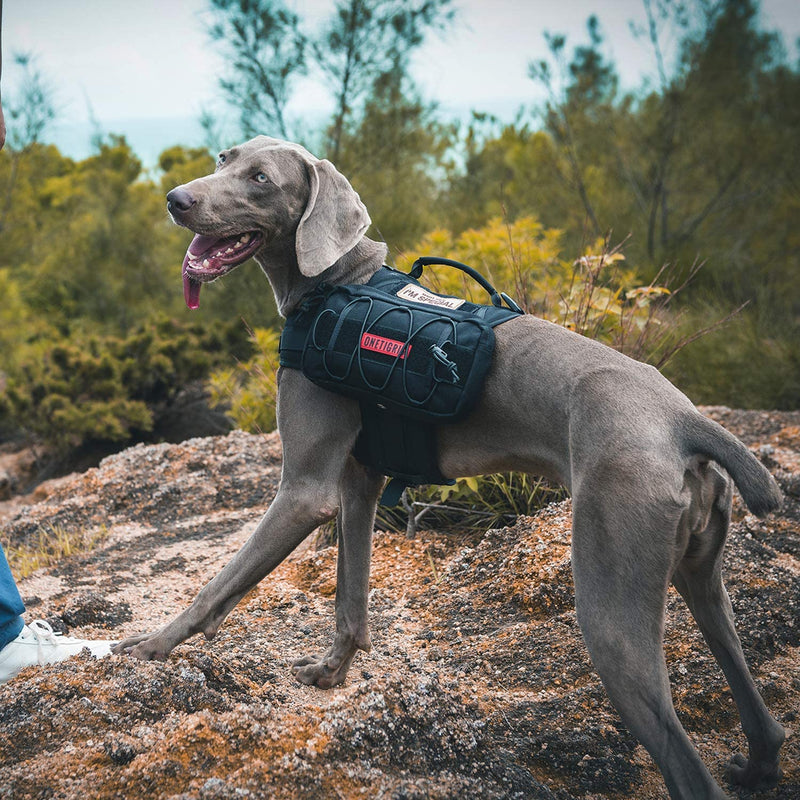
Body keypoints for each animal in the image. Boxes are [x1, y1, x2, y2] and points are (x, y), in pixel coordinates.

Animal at [115, 138, 784, 800]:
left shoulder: (305, 491)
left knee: (679, 754)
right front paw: (331, 672)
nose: (176, 199)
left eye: (259, 179)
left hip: (613, 603)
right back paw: (756, 767)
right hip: (700, 576)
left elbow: (218, 586)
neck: (336, 284)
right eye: (223, 159)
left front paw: (148, 647)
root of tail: (684, 420)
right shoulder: (360, 482)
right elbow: (350, 597)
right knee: (759, 707)